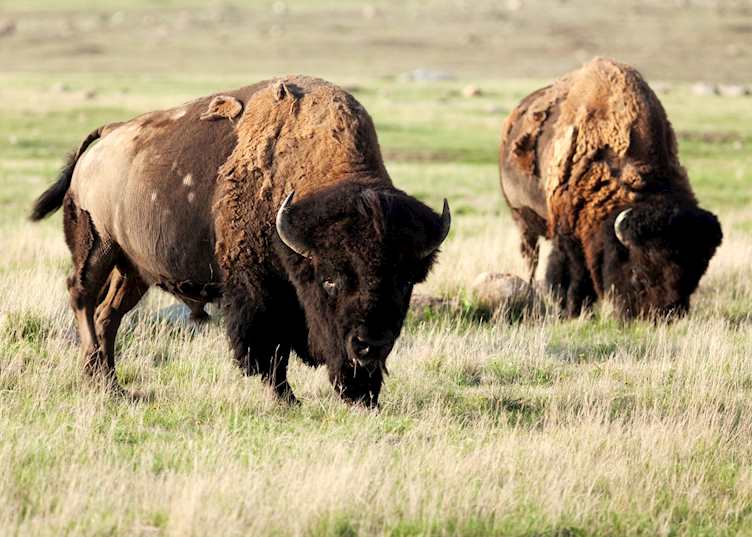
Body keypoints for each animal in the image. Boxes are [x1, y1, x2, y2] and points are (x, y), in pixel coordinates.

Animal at [31, 76, 450, 406]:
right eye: (329, 279)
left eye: (405, 282)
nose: (370, 344)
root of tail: (107, 136)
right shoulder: (260, 291)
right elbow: (268, 348)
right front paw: (287, 399)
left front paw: (364, 396)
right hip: (97, 245)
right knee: (82, 295)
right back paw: (96, 374)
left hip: (134, 269)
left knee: (109, 313)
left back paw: (112, 385)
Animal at [499, 58, 722, 318]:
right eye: (639, 274)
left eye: (694, 276)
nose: (663, 316)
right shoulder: (567, 233)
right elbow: (571, 274)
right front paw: (571, 309)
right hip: (521, 218)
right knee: (531, 257)